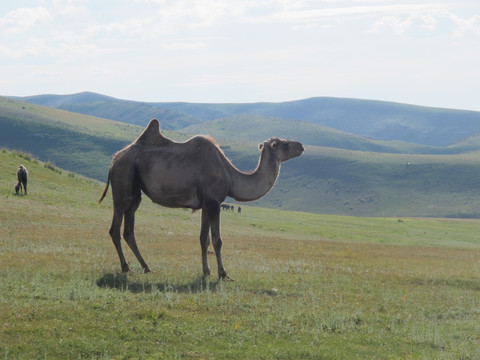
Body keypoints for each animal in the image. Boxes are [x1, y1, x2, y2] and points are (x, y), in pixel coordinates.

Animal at [98, 119, 304, 280]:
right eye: (284, 143)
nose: (301, 146)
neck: (231, 176)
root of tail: (114, 159)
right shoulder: (214, 202)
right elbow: (217, 240)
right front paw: (223, 273)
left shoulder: (206, 204)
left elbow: (203, 239)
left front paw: (206, 271)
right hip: (123, 180)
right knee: (115, 228)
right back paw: (126, 267)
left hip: (136, 191)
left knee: (129, 230)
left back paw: (146, 267)